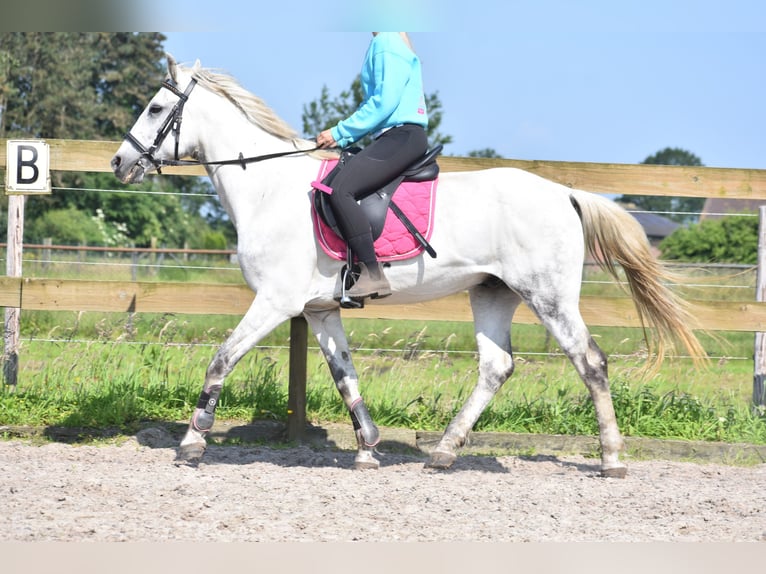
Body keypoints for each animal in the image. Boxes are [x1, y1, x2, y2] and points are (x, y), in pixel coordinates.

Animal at [111, 59, 704, 482]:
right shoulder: (320, 310)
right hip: (493, 293)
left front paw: (193, 440)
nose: (120, 162)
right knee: (496, 367)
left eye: (156, 106)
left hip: (549, 297)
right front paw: (368, 449)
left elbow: (221, 359)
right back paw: (442, 453)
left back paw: (612, 459)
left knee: (590, 362)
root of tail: (565, 193)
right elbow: (346, 377)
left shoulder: (276, 302)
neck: (266, 190)